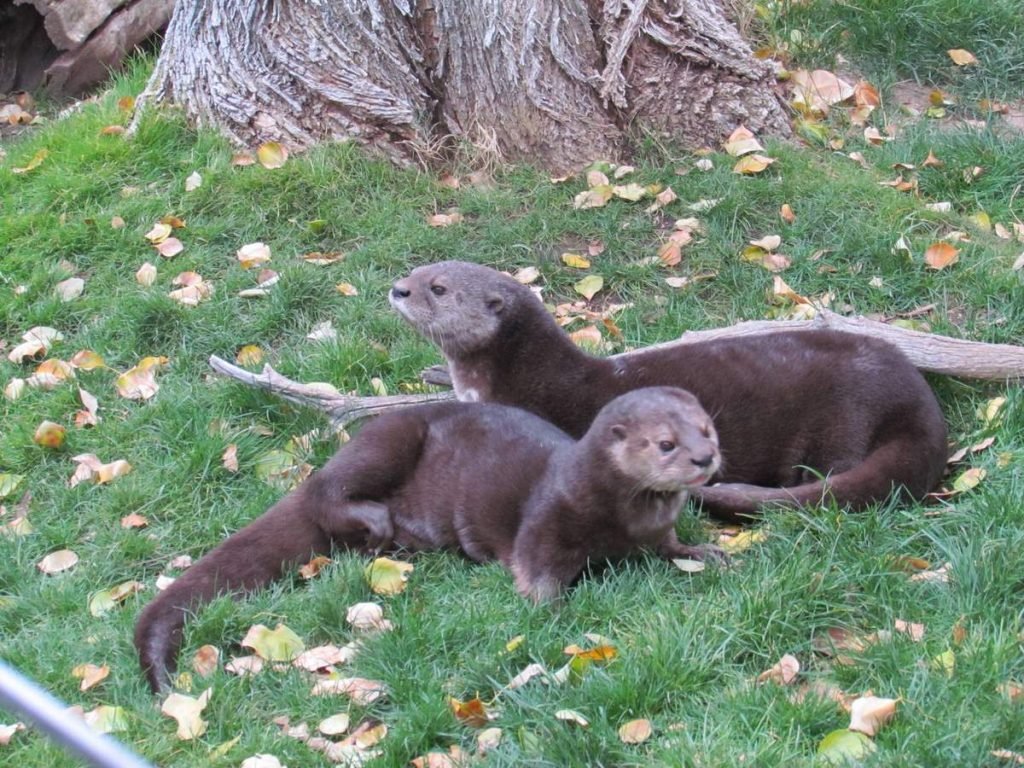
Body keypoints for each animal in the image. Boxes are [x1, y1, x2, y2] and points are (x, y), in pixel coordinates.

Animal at [134, 387, 720, 696]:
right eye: (665, 444)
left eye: (706, 428)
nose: (705, 457)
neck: (615, 515)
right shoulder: (546, 522)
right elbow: (536, 573)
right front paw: (558, 616)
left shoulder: (653, 531)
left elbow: (669, 547)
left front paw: (705, 552)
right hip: (388, 440)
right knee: (326, 488)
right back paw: (374, 520)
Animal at [387, 262, 946, 520]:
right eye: (416, 269)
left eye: (438, 288)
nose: (398, 288)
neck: (525, 377)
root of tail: (917, 399)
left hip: (842, 419)